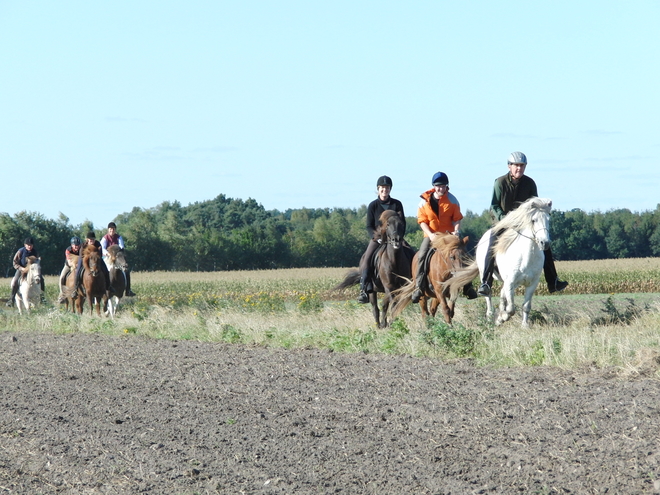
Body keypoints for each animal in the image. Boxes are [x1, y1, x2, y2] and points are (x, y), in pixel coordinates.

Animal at [444, 196, 552, 328]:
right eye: (533, 220)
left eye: (548, 219)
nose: (544, 243)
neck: (526, 257)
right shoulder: (510, 283)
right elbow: (511, 309)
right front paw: (501, 318)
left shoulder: (532, 284)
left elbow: (526, 306)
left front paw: (524, 325)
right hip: (485, 275)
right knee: (488, 295)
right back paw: (491, 318)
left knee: (502, 294)